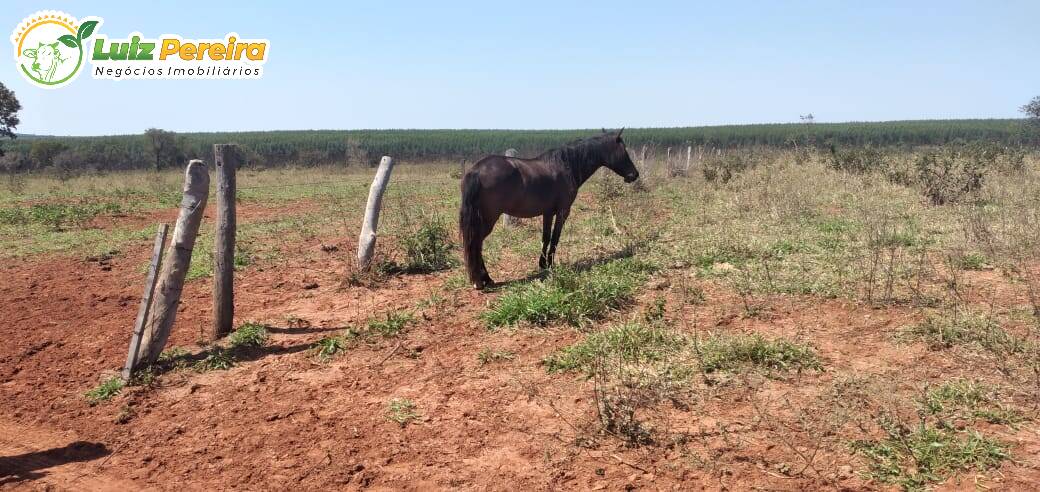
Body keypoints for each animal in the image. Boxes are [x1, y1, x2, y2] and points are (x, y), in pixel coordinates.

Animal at [459, 128, 636, 289]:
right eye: (623, 150)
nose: (634, 175)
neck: (566, 165)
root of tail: (476, 170)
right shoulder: (563, 211)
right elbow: (555, 237)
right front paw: (550, 264)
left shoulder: (548, 212)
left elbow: (546, 237)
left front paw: (542, 263)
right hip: (488, 218)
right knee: (476, 242)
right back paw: (481, 280)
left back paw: (485, 279)